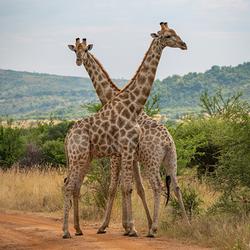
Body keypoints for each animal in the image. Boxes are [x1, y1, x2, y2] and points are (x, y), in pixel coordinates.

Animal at [63, 22, 188, 238]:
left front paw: (128, 227)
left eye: (85, 50)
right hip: (83, 157)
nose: (184, 44)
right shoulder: (122, 152)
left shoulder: (124, 152)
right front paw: (127, 226)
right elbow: (125, 187)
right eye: (168, 35)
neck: (129, 103)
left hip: (153, 159)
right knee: (69, 185)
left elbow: (127, 187)